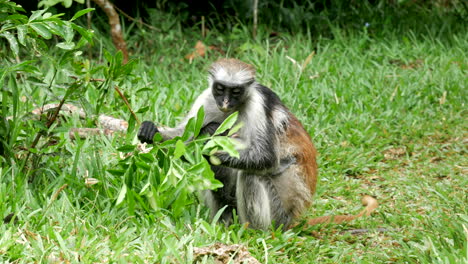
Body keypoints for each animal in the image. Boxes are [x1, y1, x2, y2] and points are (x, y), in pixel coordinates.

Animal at [138, 58, 376, 230]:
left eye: (235, 91)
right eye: (220, 88)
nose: (225, 102)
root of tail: (294, 217)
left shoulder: (257, 103)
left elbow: (266, 158)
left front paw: (213, 149)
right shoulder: (207, 98)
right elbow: (184, 136)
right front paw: (152, 131)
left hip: (279, 214)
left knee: (250, 174)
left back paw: (252, 233)